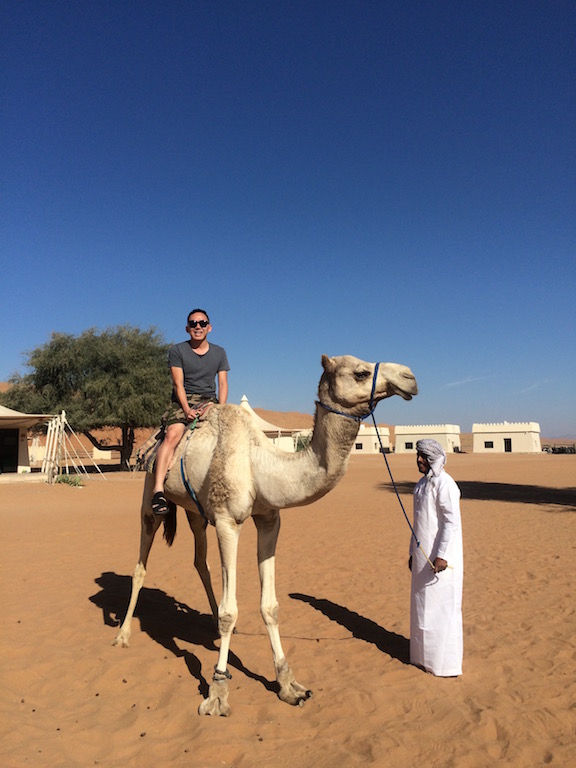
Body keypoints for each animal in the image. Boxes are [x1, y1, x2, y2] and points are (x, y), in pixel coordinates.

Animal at [113, 354, 418, 712]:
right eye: (360, 372)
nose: (410, 377)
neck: (259, 465)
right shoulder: (228, 521)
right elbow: (231, 611)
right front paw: (217, 692)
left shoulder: (269, 518)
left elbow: (269, 606)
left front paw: (289, 685)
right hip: (151, 494)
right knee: (141, 564)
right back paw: (122, 635)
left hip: (195, 511)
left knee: (200, 561)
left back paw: (208, 619)